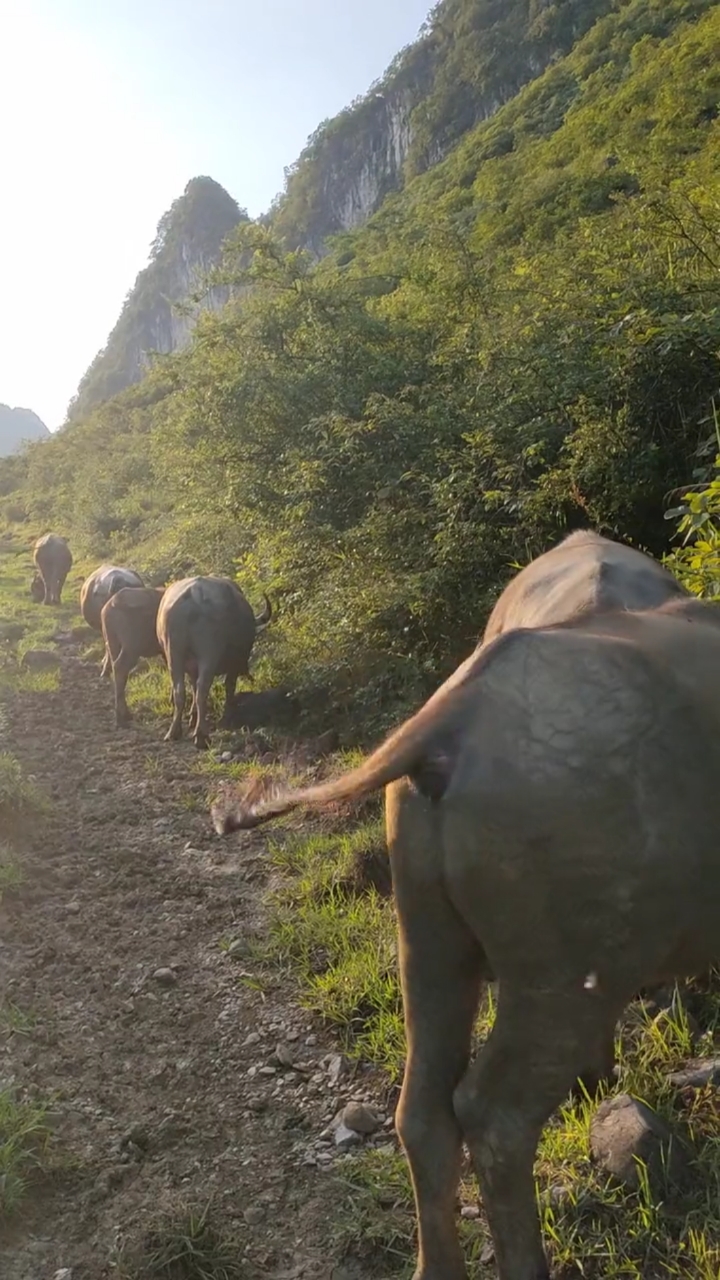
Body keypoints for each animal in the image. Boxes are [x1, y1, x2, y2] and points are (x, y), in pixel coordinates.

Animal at [155, 573, 270, 747]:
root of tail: (195, 593)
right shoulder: (233, 666)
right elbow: (229, 686)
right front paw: (227, 717)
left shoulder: (191, 667)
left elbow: (193, 688)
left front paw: (193, 716)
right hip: (209, 654)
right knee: (202, 689)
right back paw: (201, 735)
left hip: (174, 654)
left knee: (180, 691)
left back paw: (174, 731)